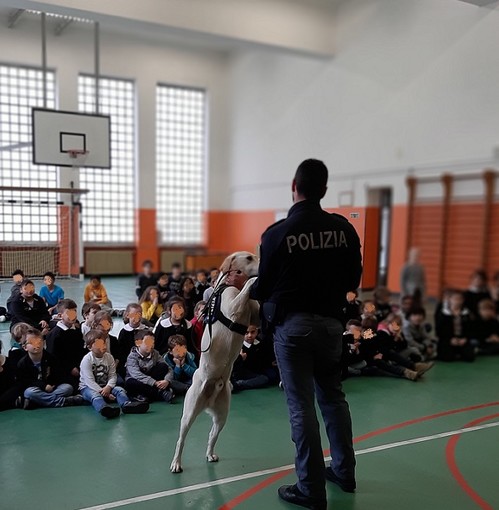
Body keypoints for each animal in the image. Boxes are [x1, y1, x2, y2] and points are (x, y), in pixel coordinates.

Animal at [170, 252, 260, 474]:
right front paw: (254, 280)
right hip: (188, 414)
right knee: (181, 440)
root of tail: (208, 400)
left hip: (222, 416)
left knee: (212, 435)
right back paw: (176, 463)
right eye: (248, 258)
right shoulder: (234, 305)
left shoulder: (255, 316)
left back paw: (210, 454)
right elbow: (248, 286)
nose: (262, 261)